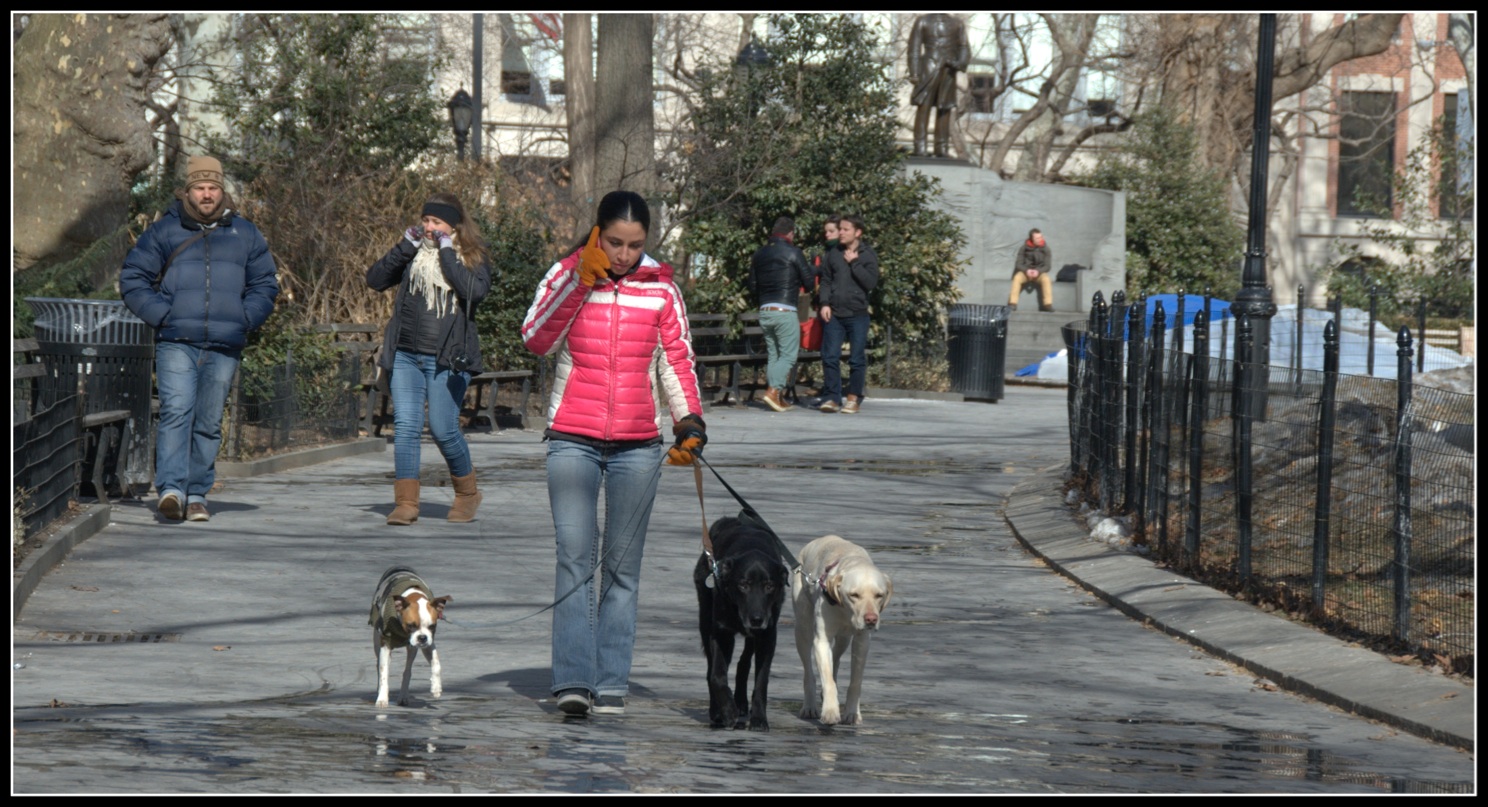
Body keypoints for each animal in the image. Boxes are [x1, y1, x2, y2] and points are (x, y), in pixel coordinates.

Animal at [369, 568, 449, 708]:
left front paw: (436, 688)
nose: (422, 637)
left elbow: (436, 664)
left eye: (432, 626)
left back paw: (403, 696)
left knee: (407, 670)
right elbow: (384, 673)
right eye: (411, 625)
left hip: (412, 649)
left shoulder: (428, 645)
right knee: (380, 665)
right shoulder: (385, 645)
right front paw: (382, 698)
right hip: (378, 644)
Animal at [693, 518, 791, 732]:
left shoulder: (767, 636)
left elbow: (761, 681)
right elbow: (716, 675)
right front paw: (728, 712)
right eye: (743, 585)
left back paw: (741, 702)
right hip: (705, 620)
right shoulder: (720, 633)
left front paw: (759, 719)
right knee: (711, 669)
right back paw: (718, 711)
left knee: (743, 662)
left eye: (769, 586)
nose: (756, 619)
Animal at [797, 538, 886, 726]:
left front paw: (852, 712)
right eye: (854, 595)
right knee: (809, 671)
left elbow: (855, 681)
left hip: (844, 638)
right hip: (802, 628)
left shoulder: (862, 642)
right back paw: (809, 706)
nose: (871, 619)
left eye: (879, 595)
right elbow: (827, 680)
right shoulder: (821, 641)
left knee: (836, 658)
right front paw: (830, 711)